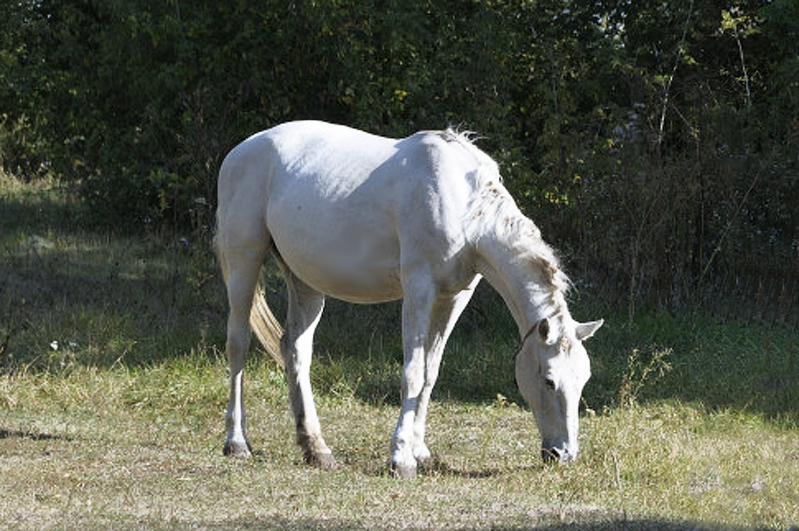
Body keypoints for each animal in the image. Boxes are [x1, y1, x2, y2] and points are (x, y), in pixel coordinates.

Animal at [216, 122, 604, 480]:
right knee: (238, 344)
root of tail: (240, 151)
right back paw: (237, 442)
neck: (465, 206)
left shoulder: (453, 298)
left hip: (305, 281)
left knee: (296, 350)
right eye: (549, 380)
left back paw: (316, 449)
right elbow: (413, 373)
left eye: (583, 379)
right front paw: (401, 458)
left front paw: (420, 451)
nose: (563, 454)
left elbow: (431, 373)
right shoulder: (419, 289)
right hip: (244, 261)